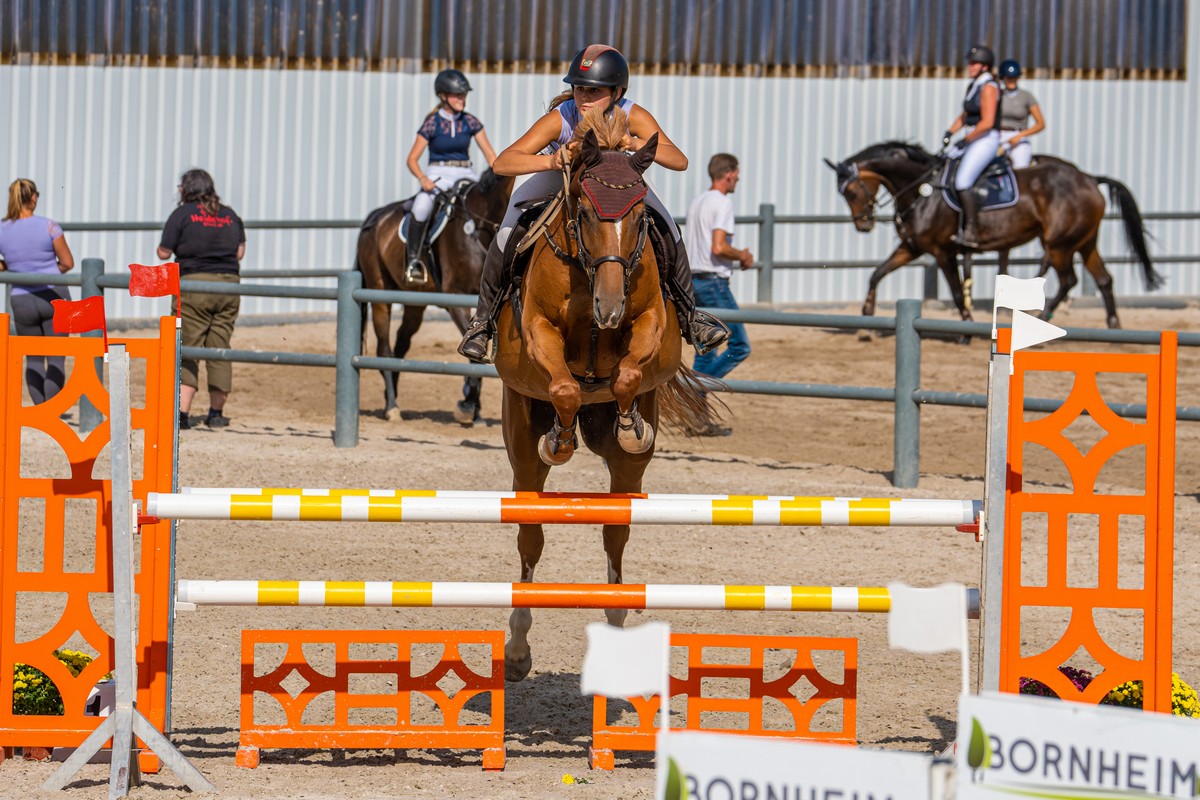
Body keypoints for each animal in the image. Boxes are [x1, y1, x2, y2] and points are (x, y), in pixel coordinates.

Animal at [355, 168, 514, 423]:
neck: (480, 225)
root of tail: (375, 217)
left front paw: (474, 406)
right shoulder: (455, 299)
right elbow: (472, 352)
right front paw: (468, 405)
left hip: (415, 304)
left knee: (400, 347)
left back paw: (393, 396)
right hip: (381, 296)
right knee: (385, 349)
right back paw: (391, 405)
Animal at [492, 112, 715, 682]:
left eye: (637, 215)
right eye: (588, 211)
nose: (609, 307)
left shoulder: (652, 322)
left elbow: (627, 376)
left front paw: (630, 425)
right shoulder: (538, 331)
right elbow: (565, 385)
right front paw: (560, 439)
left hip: (626, 478)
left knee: (616, 532)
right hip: (520, 451)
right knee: (530, 536)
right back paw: (517, 648)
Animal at [825, 142, 1162, 328]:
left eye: (852, 192)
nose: (863, 224)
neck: (921, 190)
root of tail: (1089, 178)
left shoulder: (942, 251)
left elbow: (957, 291)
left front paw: (965, 330)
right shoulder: (913, 247)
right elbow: (877, 273)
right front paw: (866, 317)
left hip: (1059, 244)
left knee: (1068, 279)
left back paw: (1041, 318)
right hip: (1084, 242)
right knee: (1103, 280)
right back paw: (1113, 325)